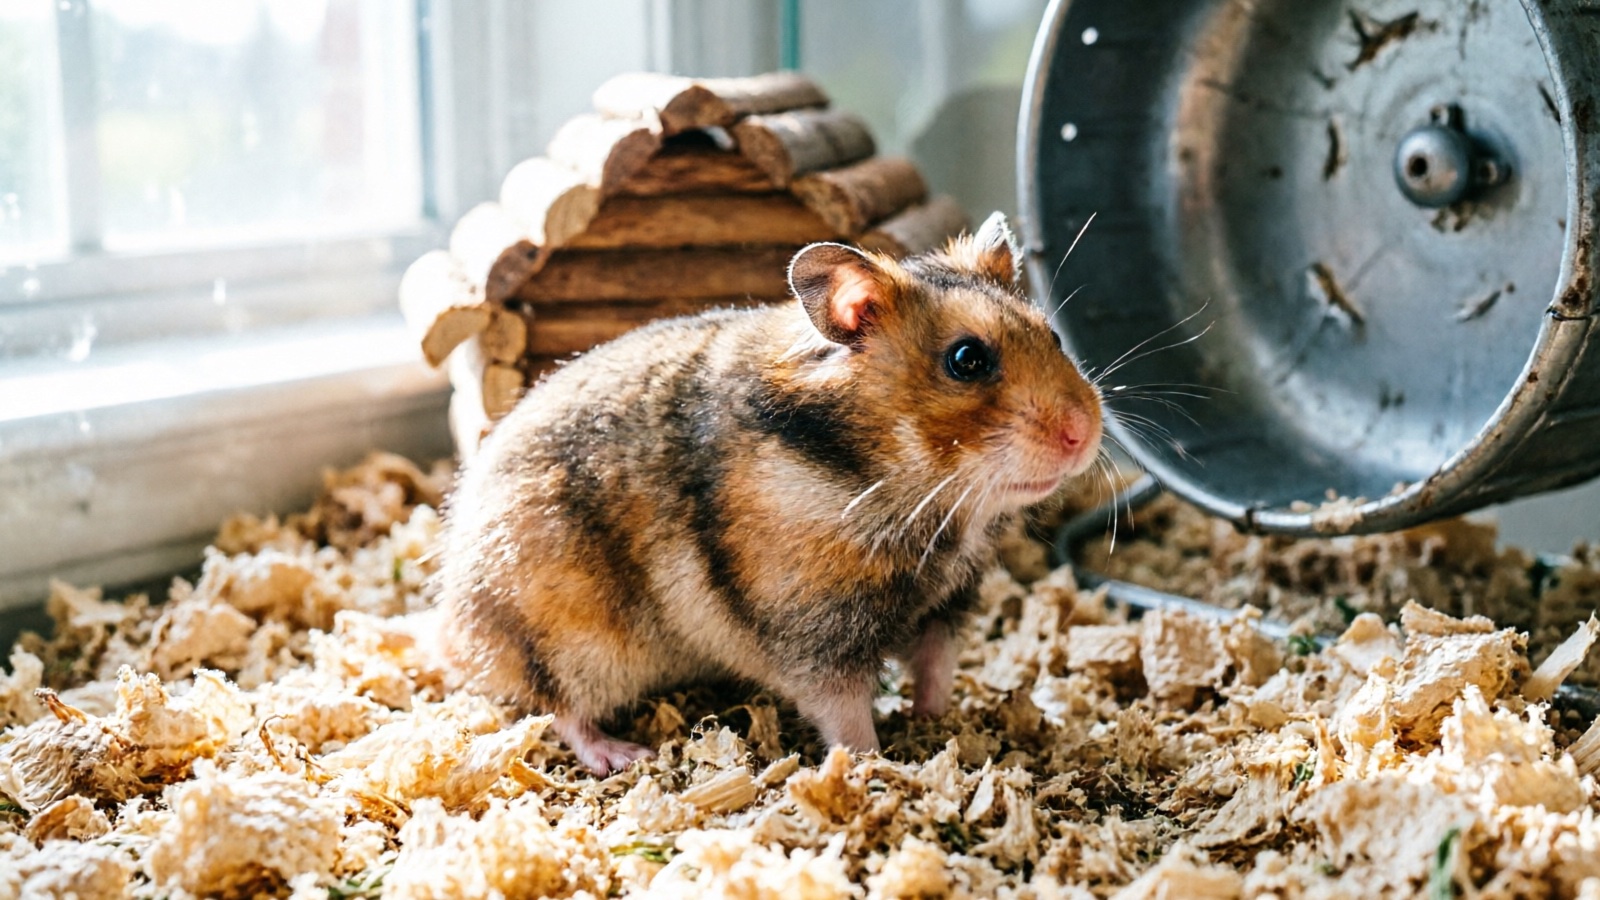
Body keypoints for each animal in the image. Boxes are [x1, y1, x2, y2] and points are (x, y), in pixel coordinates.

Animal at [439, 212, 1103, 774]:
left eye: (1054, 337)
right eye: (967, 359)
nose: (1084, 434)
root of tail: (450, 627)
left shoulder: (946, 605)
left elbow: (936, 672)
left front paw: (939, 722)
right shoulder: (816, 636)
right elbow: (846, 718)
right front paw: (876, 770)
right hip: (569, 642)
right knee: (560, 708)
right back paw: (621, 755)